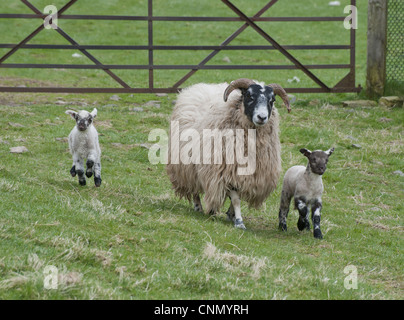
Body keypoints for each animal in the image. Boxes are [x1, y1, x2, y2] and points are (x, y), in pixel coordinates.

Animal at [166, 77, 290, 229]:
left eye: (272, 100)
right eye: (249, 96)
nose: (262, 117)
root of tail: (197, 87)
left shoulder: (246, 175)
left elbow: (238, 196)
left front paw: (231, 215)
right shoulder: (225, 172)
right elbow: (236, 199)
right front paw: (239, 221)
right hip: (186, 163)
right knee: (193, 185)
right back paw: (198, 207)